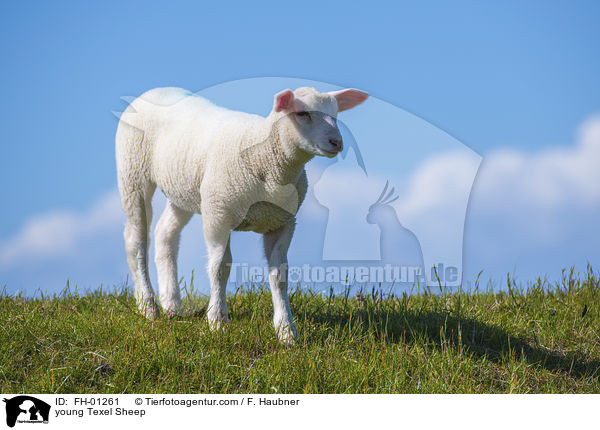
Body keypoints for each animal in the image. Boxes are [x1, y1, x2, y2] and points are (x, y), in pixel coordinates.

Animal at [114, 85, 368, 342]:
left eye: (335, 114)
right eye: (302, 114)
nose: (336, 142)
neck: (265, 157)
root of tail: (156, 90)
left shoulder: (282, 222)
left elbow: (280, 276)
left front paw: (286, 330)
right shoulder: (218, 214)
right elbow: (220, 268)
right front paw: (217, 321)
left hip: (185, 190)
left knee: (165, 233)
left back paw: (172, 303)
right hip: (133, 172)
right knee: (136, 241)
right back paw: (148, 306)